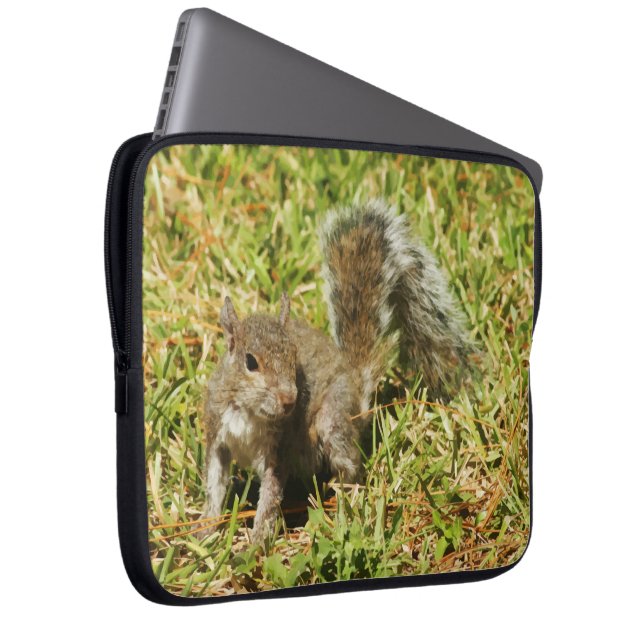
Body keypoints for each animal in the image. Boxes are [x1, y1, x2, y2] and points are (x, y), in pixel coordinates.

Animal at [202, 200, 474, 542]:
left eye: (294, 356)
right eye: (250, 362)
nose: (290, 400)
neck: (248, 411)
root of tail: (357, 390)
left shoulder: (278, 447)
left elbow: (270, 497)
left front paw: (257, 543)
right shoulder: (217, 436)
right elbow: (215, 484)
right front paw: (203, 533)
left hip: (332, 417)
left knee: (352, 466)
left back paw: (342, 497)